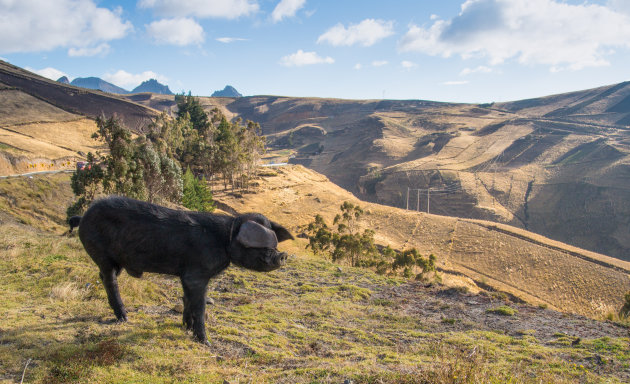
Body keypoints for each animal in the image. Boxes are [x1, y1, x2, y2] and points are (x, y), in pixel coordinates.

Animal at [74, 196, 294, 344]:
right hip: (102, 254)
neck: (224, 241)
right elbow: (200, 306)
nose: (282, 255)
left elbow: (187, 300)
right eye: (262, 246)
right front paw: (205, 342)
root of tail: (83, 216)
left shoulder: (187, 275)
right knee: (109, 279)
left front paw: (185, 328)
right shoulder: (196, 275)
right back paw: (124, 317)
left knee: (103, 276)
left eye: (274, 244)